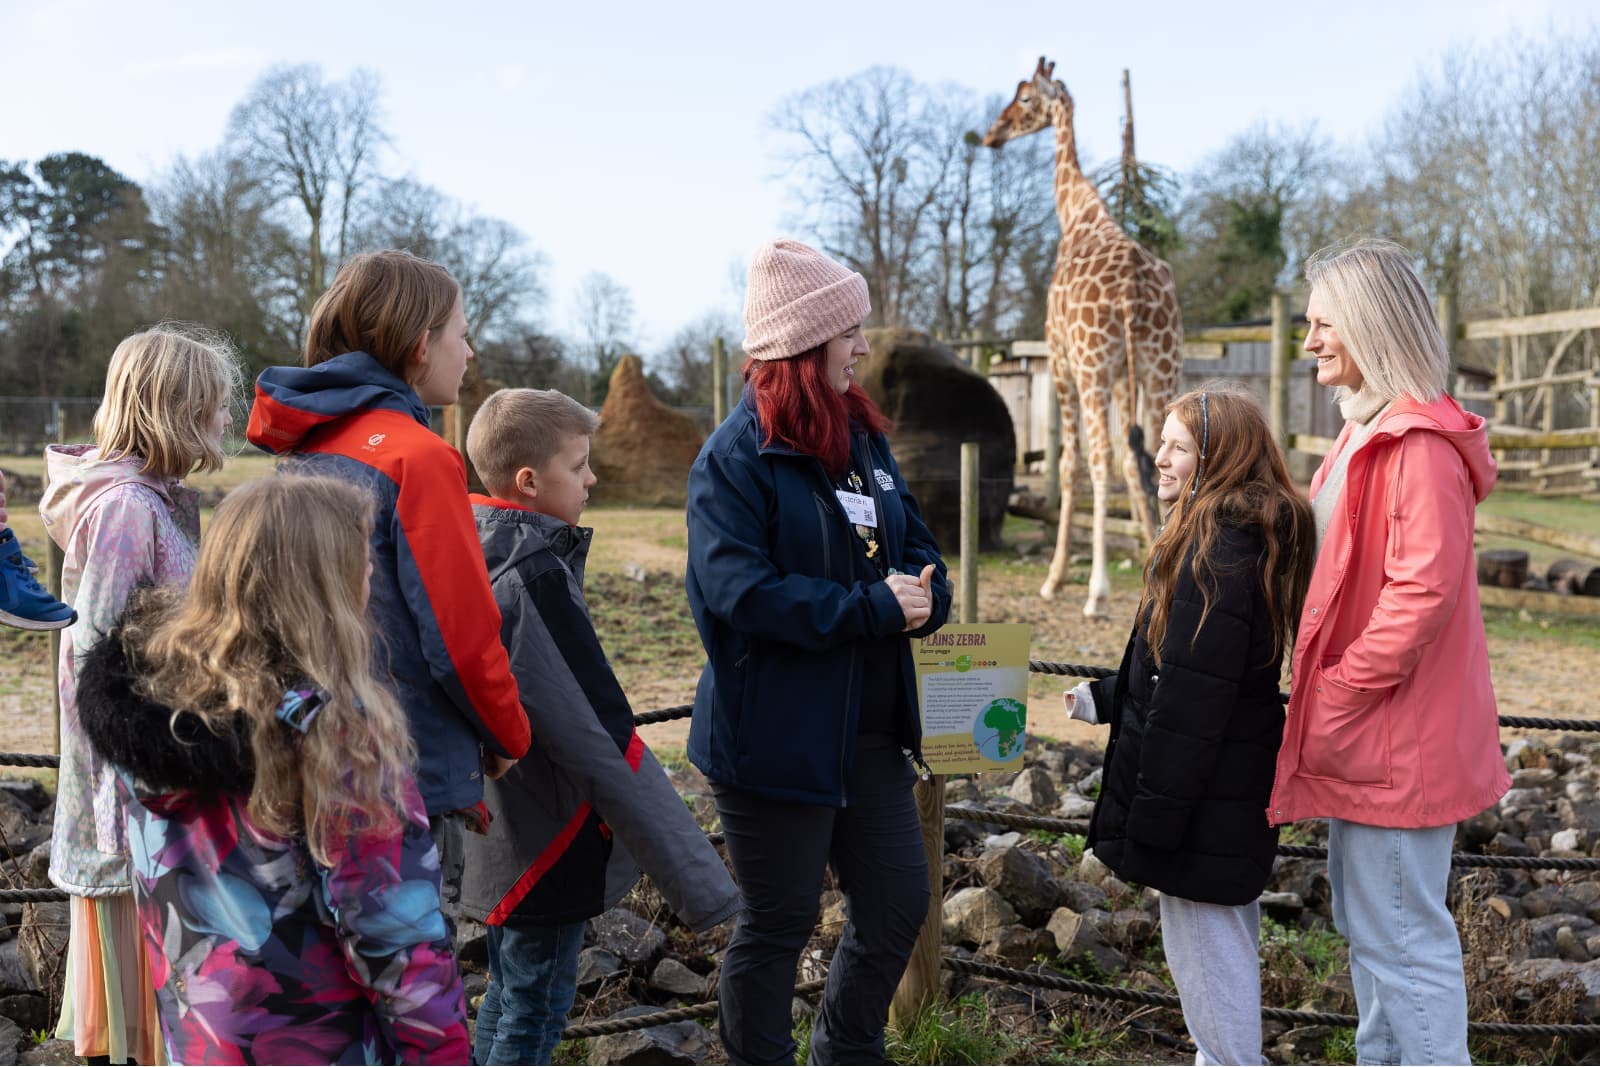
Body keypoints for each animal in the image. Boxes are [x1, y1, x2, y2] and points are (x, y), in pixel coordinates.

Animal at [984, 57, 1183, 617]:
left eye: (1024, 98)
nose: (992, 134)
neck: (1075, 213)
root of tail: (1135, 288)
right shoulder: (1122, 373)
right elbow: (1136, 463)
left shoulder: (1062, 362)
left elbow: (1072, 463)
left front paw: (1057, 580)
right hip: (1162, 365)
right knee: (1152, 457)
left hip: (1092, 366)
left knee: (1097, 461)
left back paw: (1094, 592)